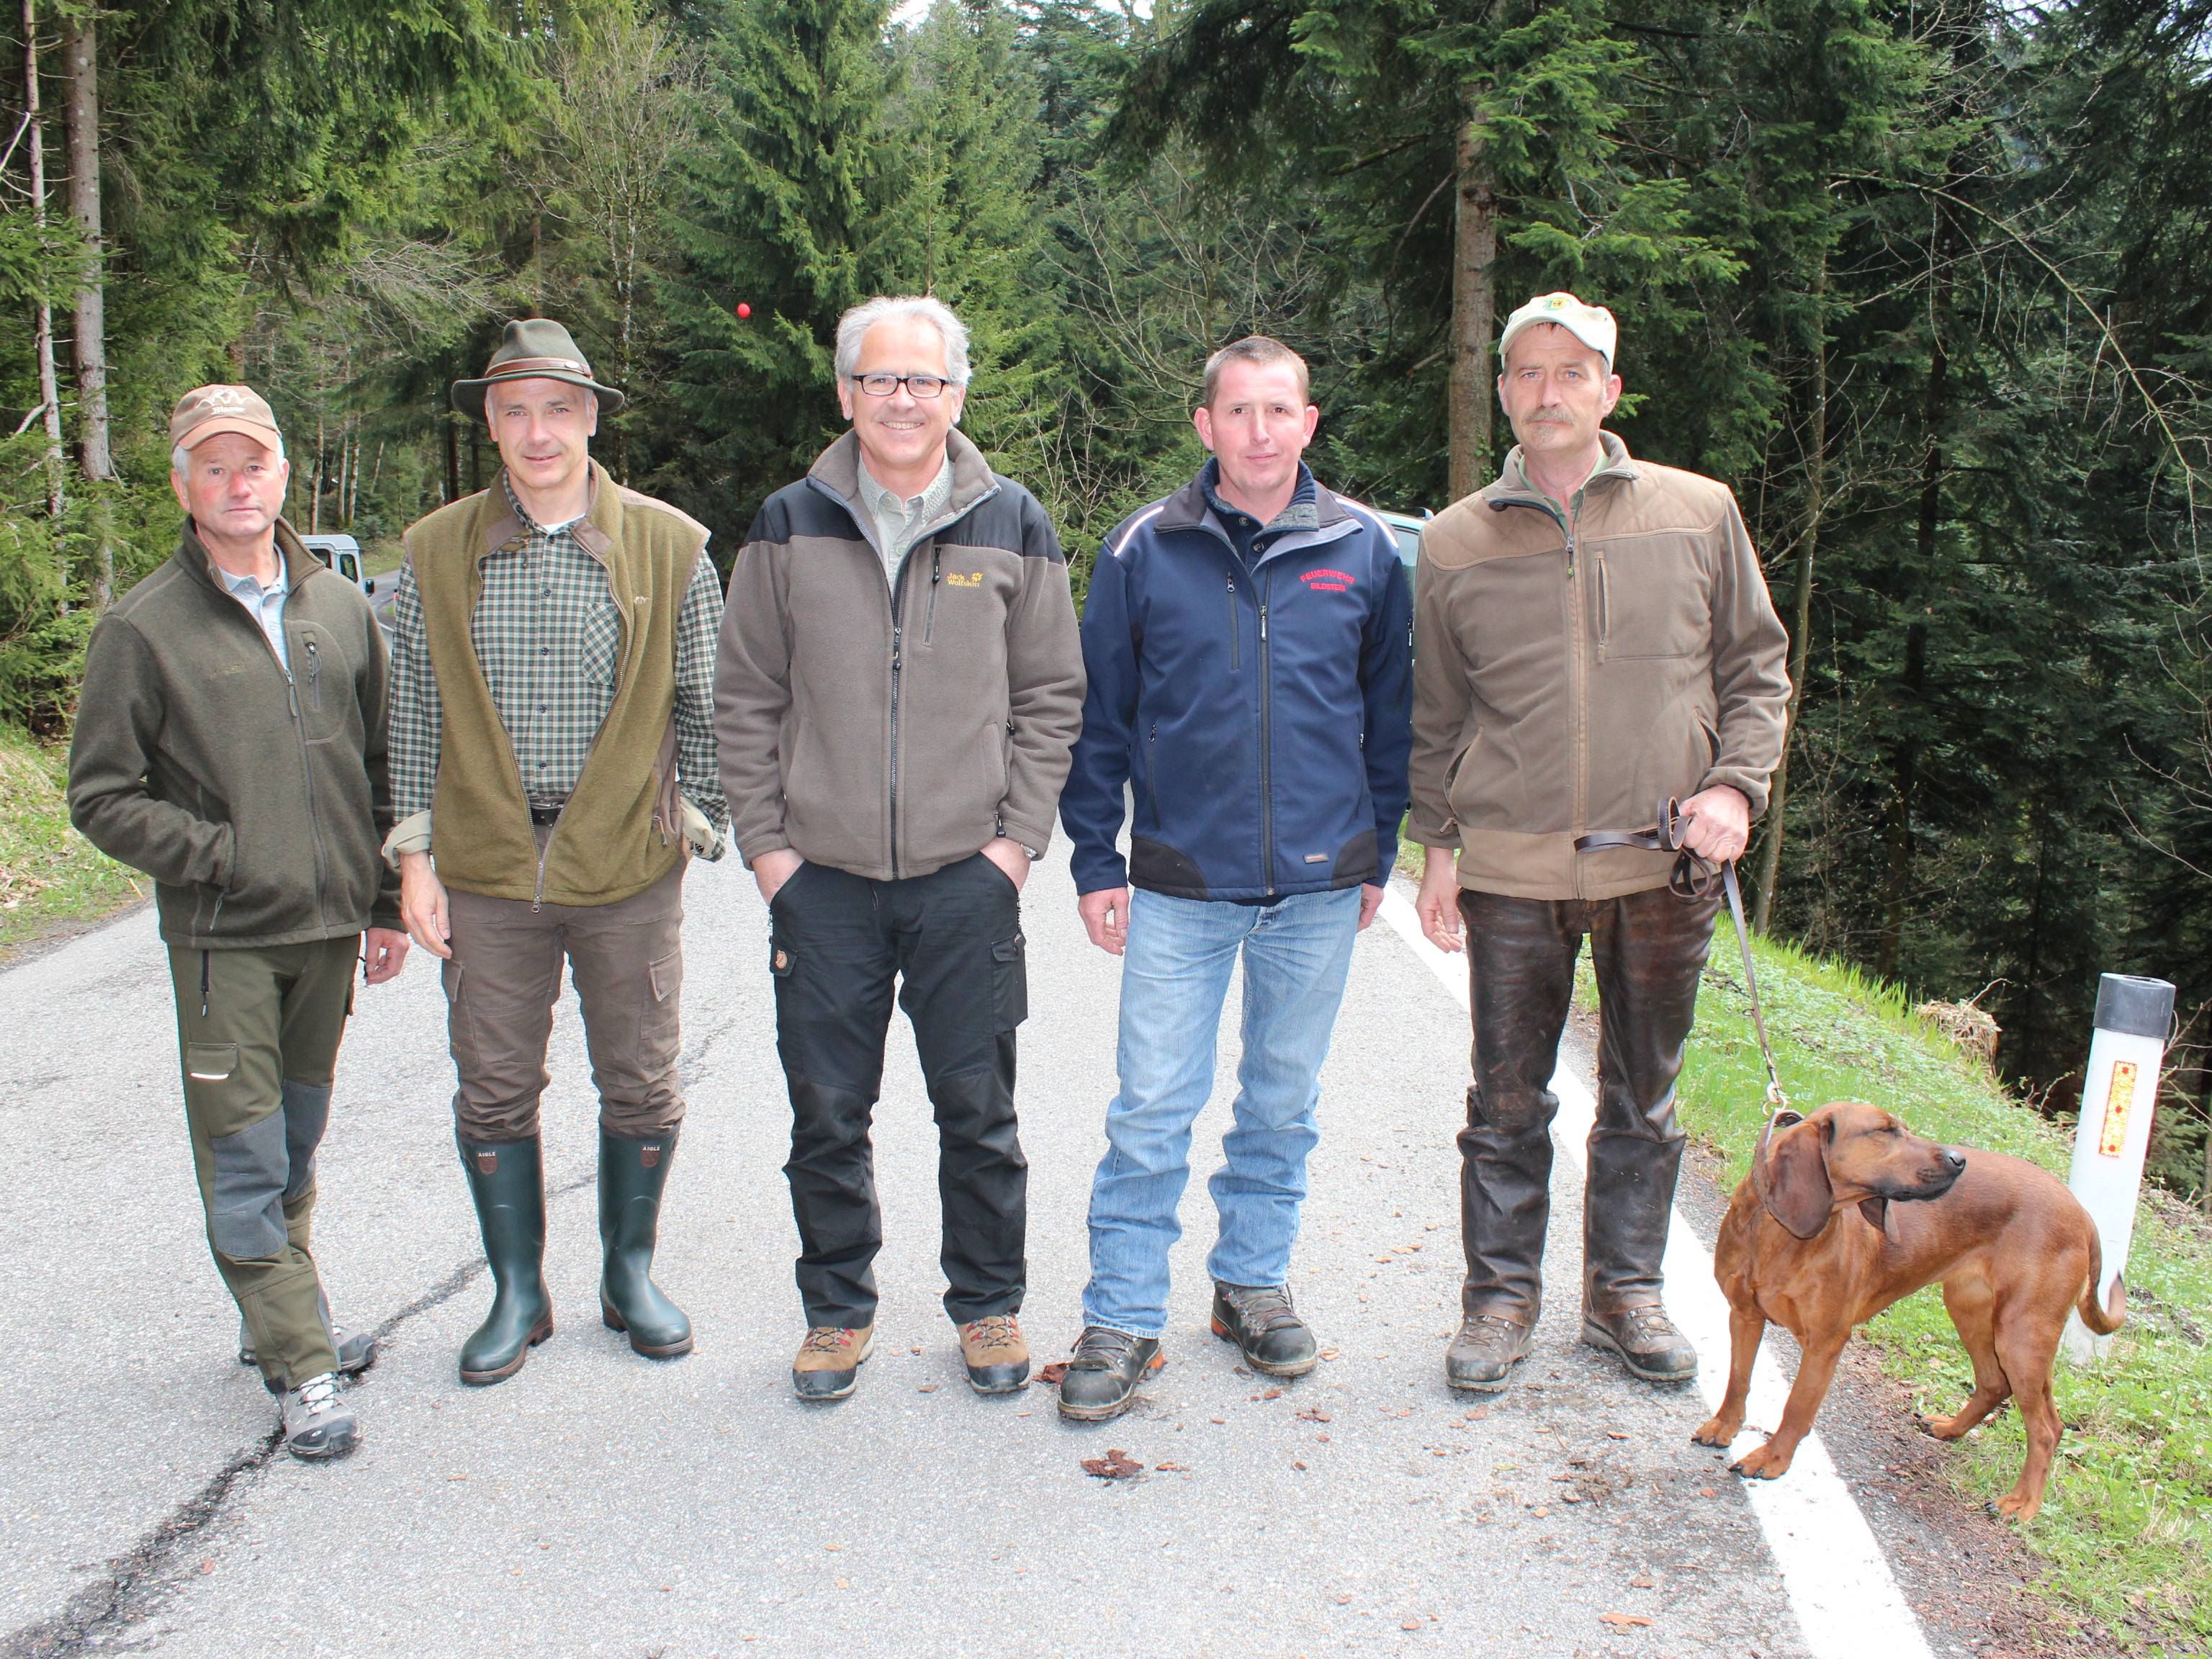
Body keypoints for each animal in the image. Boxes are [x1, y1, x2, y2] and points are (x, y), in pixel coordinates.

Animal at [1690, 1106, 2123, 1521]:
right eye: (1885, 1131)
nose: (1959, 1159)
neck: (1778, 1235)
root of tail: (2084, 1215)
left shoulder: (1825, 1343)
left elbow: (1796, 1407)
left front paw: (1772, 1459)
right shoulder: (1744, 1315)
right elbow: (1738, 1379)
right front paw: (1725, 1427)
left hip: (2021, 1333)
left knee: (2047, 1428)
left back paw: (2021, 1504)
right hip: (1972, 1309)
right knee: (1995, 1384)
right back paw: (1950, 1429)